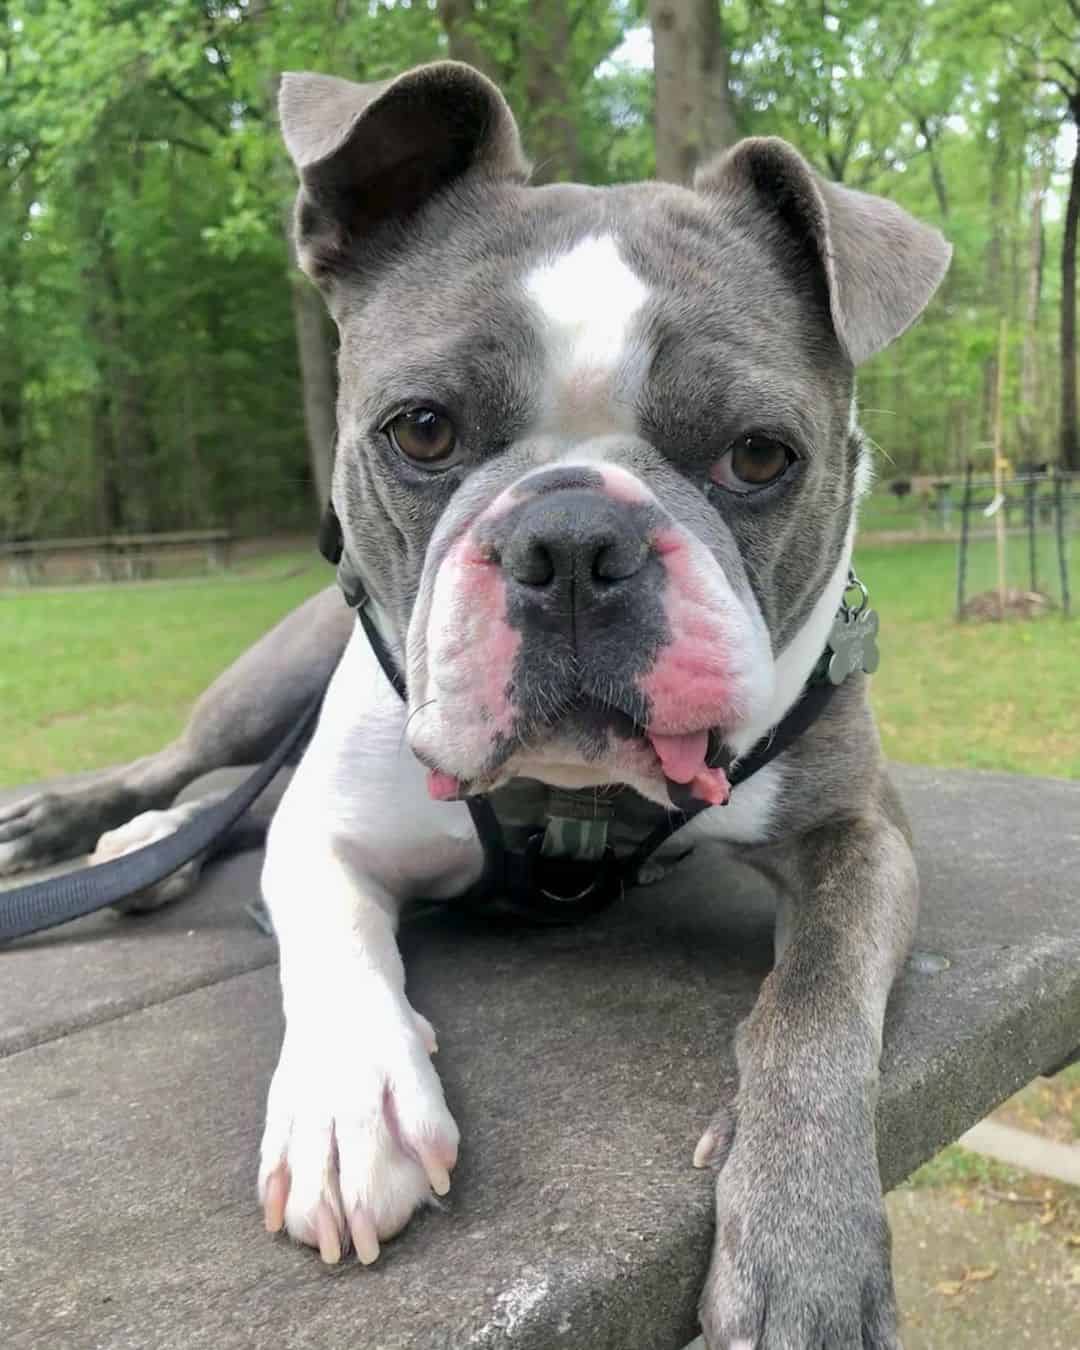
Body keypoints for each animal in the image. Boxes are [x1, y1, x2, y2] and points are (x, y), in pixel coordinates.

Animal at [0, 63, 945, 1350]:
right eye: (423, 429)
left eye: (759, 456)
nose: (574, 542)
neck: (575, 798)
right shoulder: (331, 828)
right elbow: (333, 943)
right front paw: (350, 1106)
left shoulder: (855, 837)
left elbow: (814, 1007)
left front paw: (808, 1246)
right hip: (272, 681)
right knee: (196, 771)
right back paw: (118, 831)